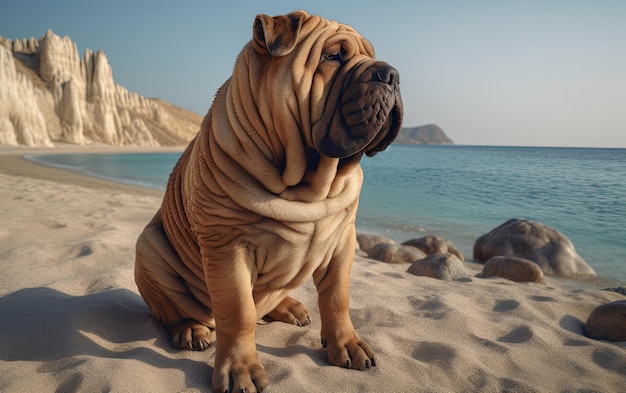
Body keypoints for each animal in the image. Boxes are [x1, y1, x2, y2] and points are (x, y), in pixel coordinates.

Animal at [134, 9, 402, 392]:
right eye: (332, 57)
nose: (391, 74)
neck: (312, 182)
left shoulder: (343, 240)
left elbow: (337, 297)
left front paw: (347, 345)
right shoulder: (227, 246)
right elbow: (238, 312)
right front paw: (240, 368)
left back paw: (290, 307)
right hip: (148, 247)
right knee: (177, 312)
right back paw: (190, 329)